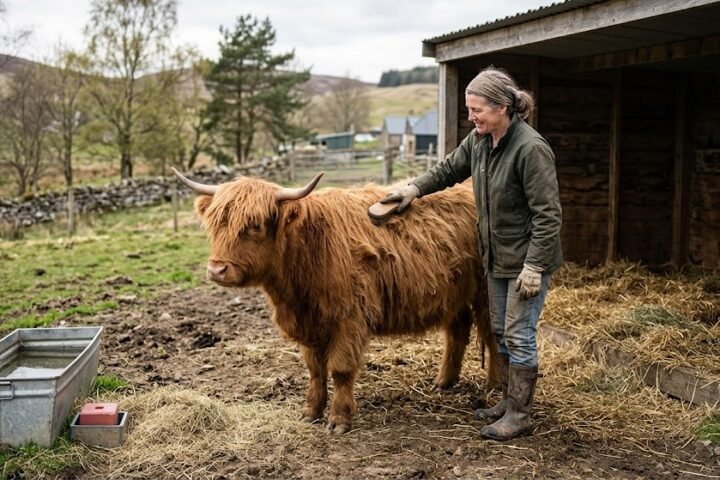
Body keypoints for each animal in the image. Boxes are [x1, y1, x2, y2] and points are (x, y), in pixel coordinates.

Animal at [173, 168, 499, 433]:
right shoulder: (310, 321)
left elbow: (340, 369)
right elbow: (315, 370)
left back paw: (494, 386)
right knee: (457, 331)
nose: (216, 269)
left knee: (492, 335)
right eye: (216, 223)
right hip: (457, 292)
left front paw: (339, 419)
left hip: (485, 293)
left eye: (254, 225)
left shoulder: (349, 318)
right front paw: (311, 411)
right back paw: (444, 381)